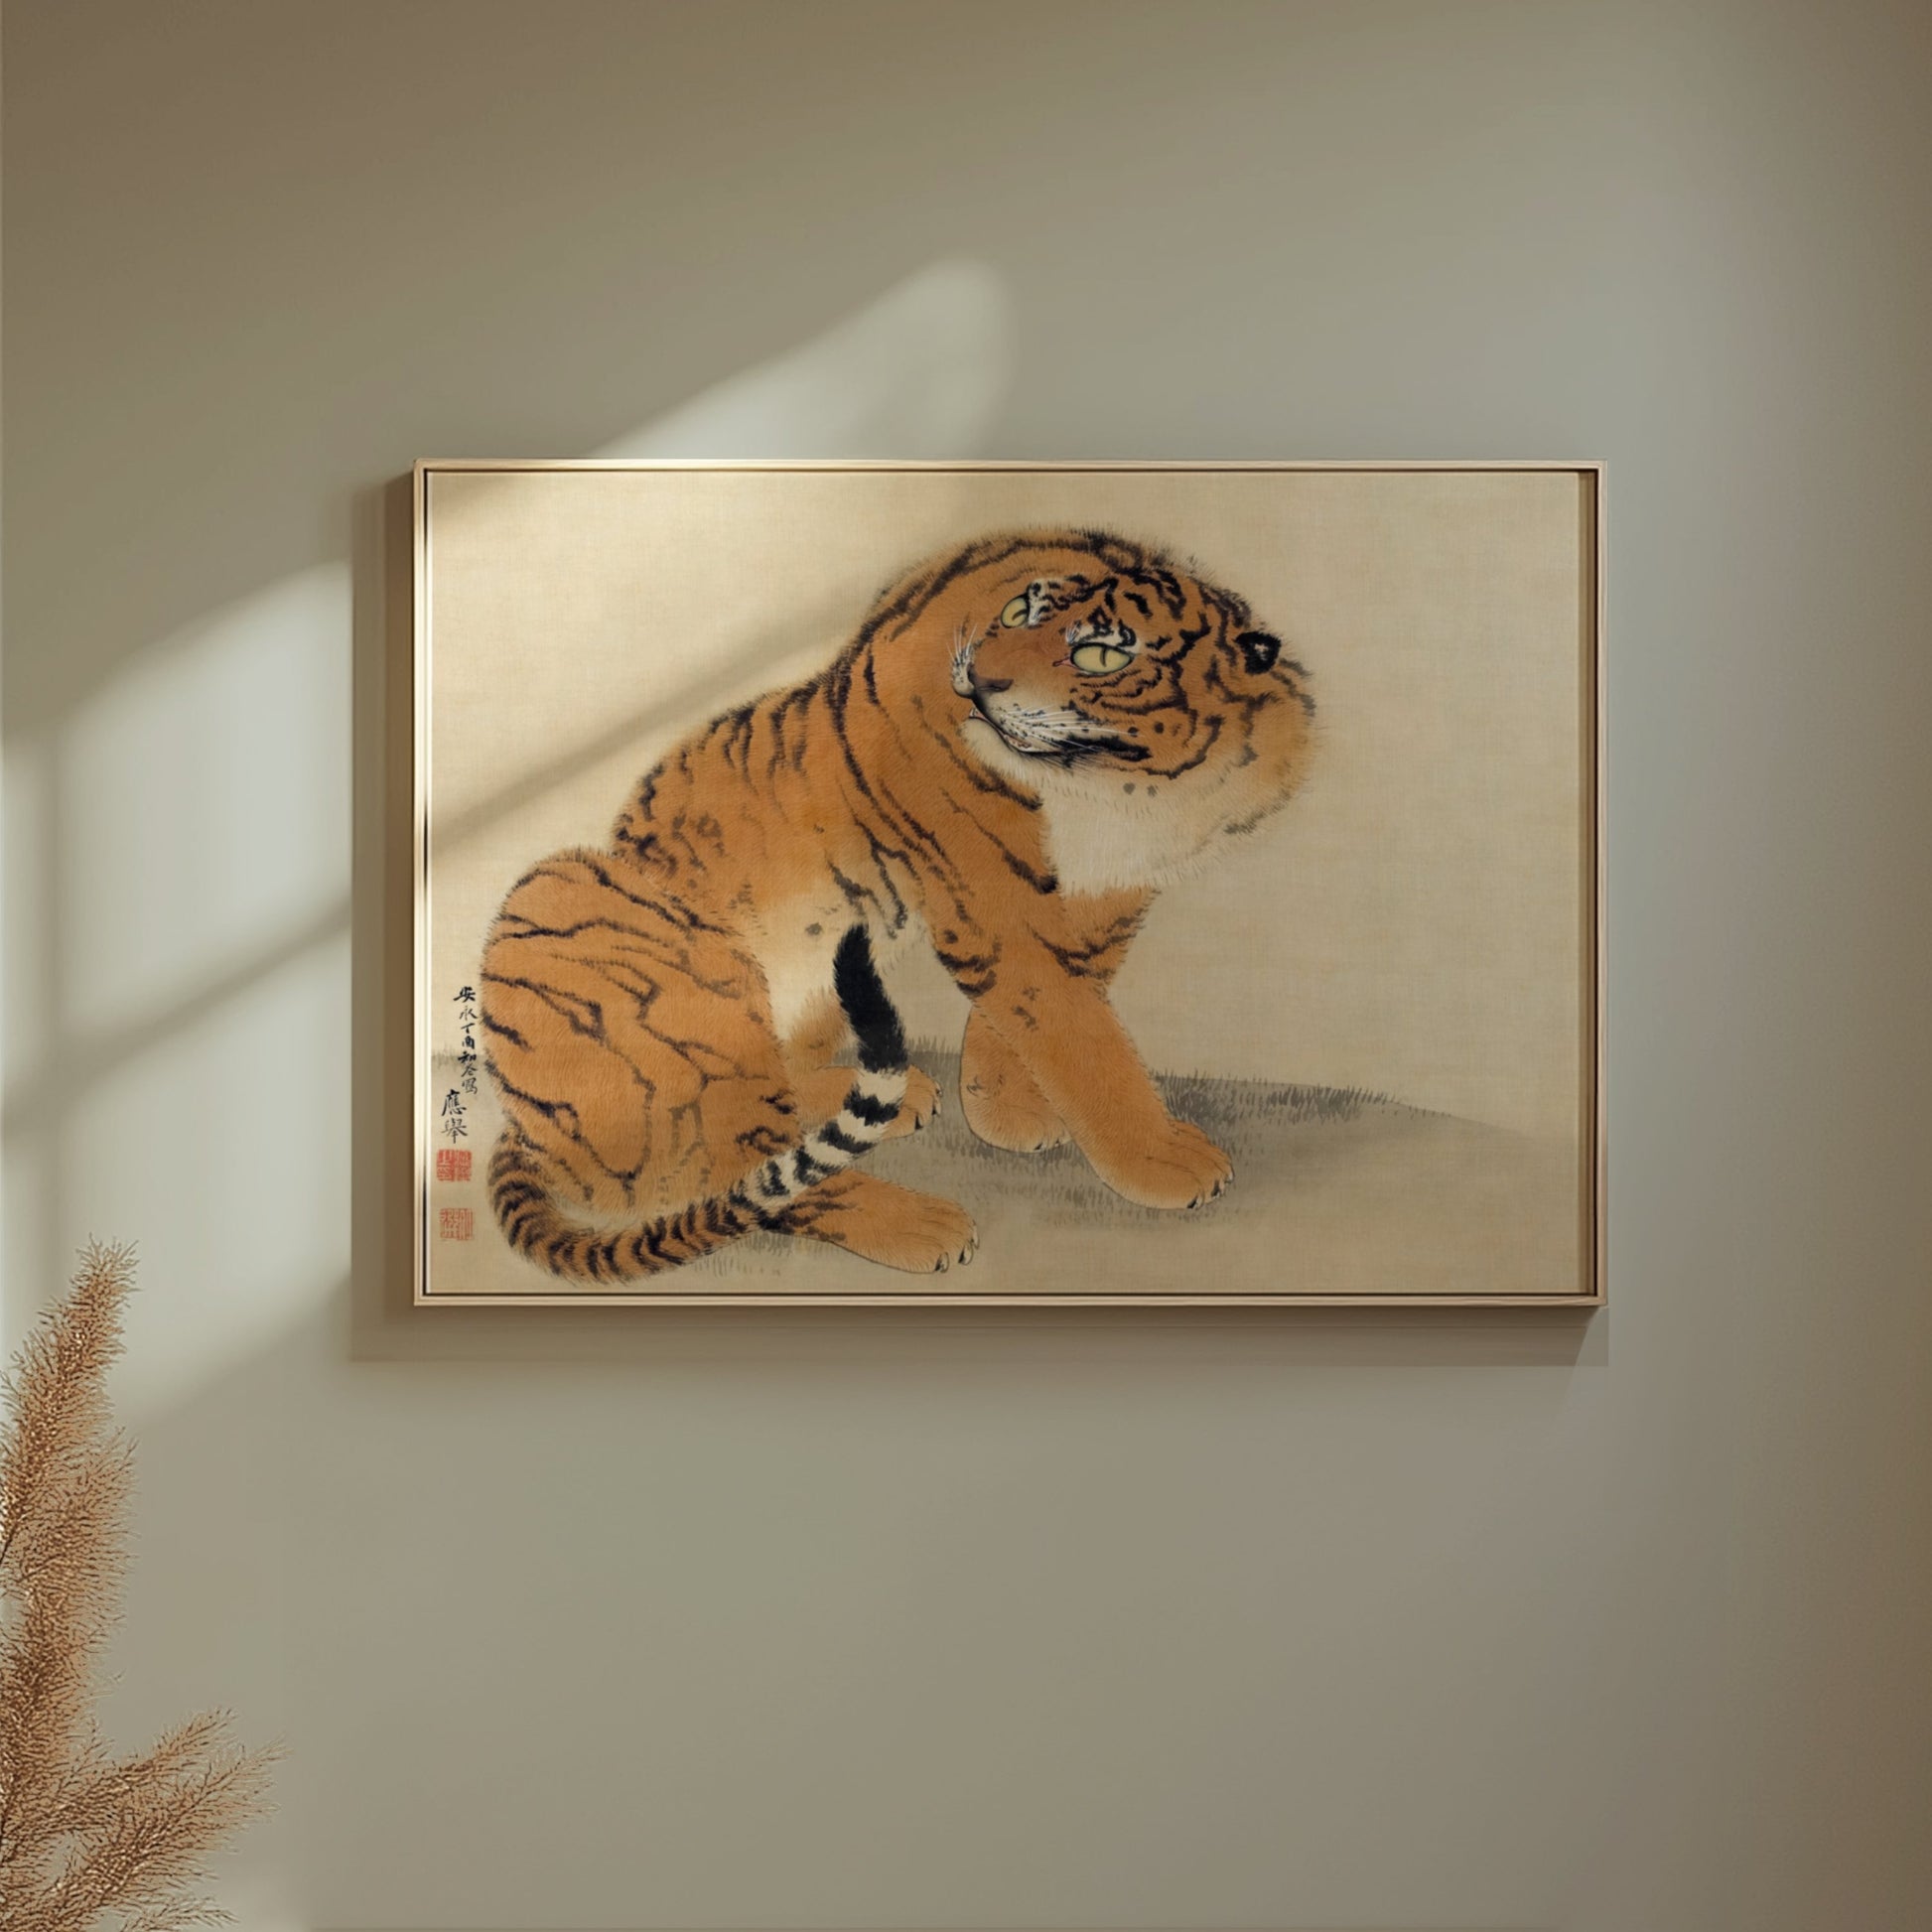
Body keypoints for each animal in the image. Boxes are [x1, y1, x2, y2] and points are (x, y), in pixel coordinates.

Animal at [479, 527, 1315, 1284]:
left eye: (1102, 655)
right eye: (1018, 613)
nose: (978, 680)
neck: (1123, 788)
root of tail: (525, 1127)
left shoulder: (1111, 894)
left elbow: (1055, 1011)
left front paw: (1006, 1109)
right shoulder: (992, 901)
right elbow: (1080, 1037)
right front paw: (1161, 1159)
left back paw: (900, 1094)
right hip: (589, 906)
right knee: (744, 1173)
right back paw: (921, 1224)